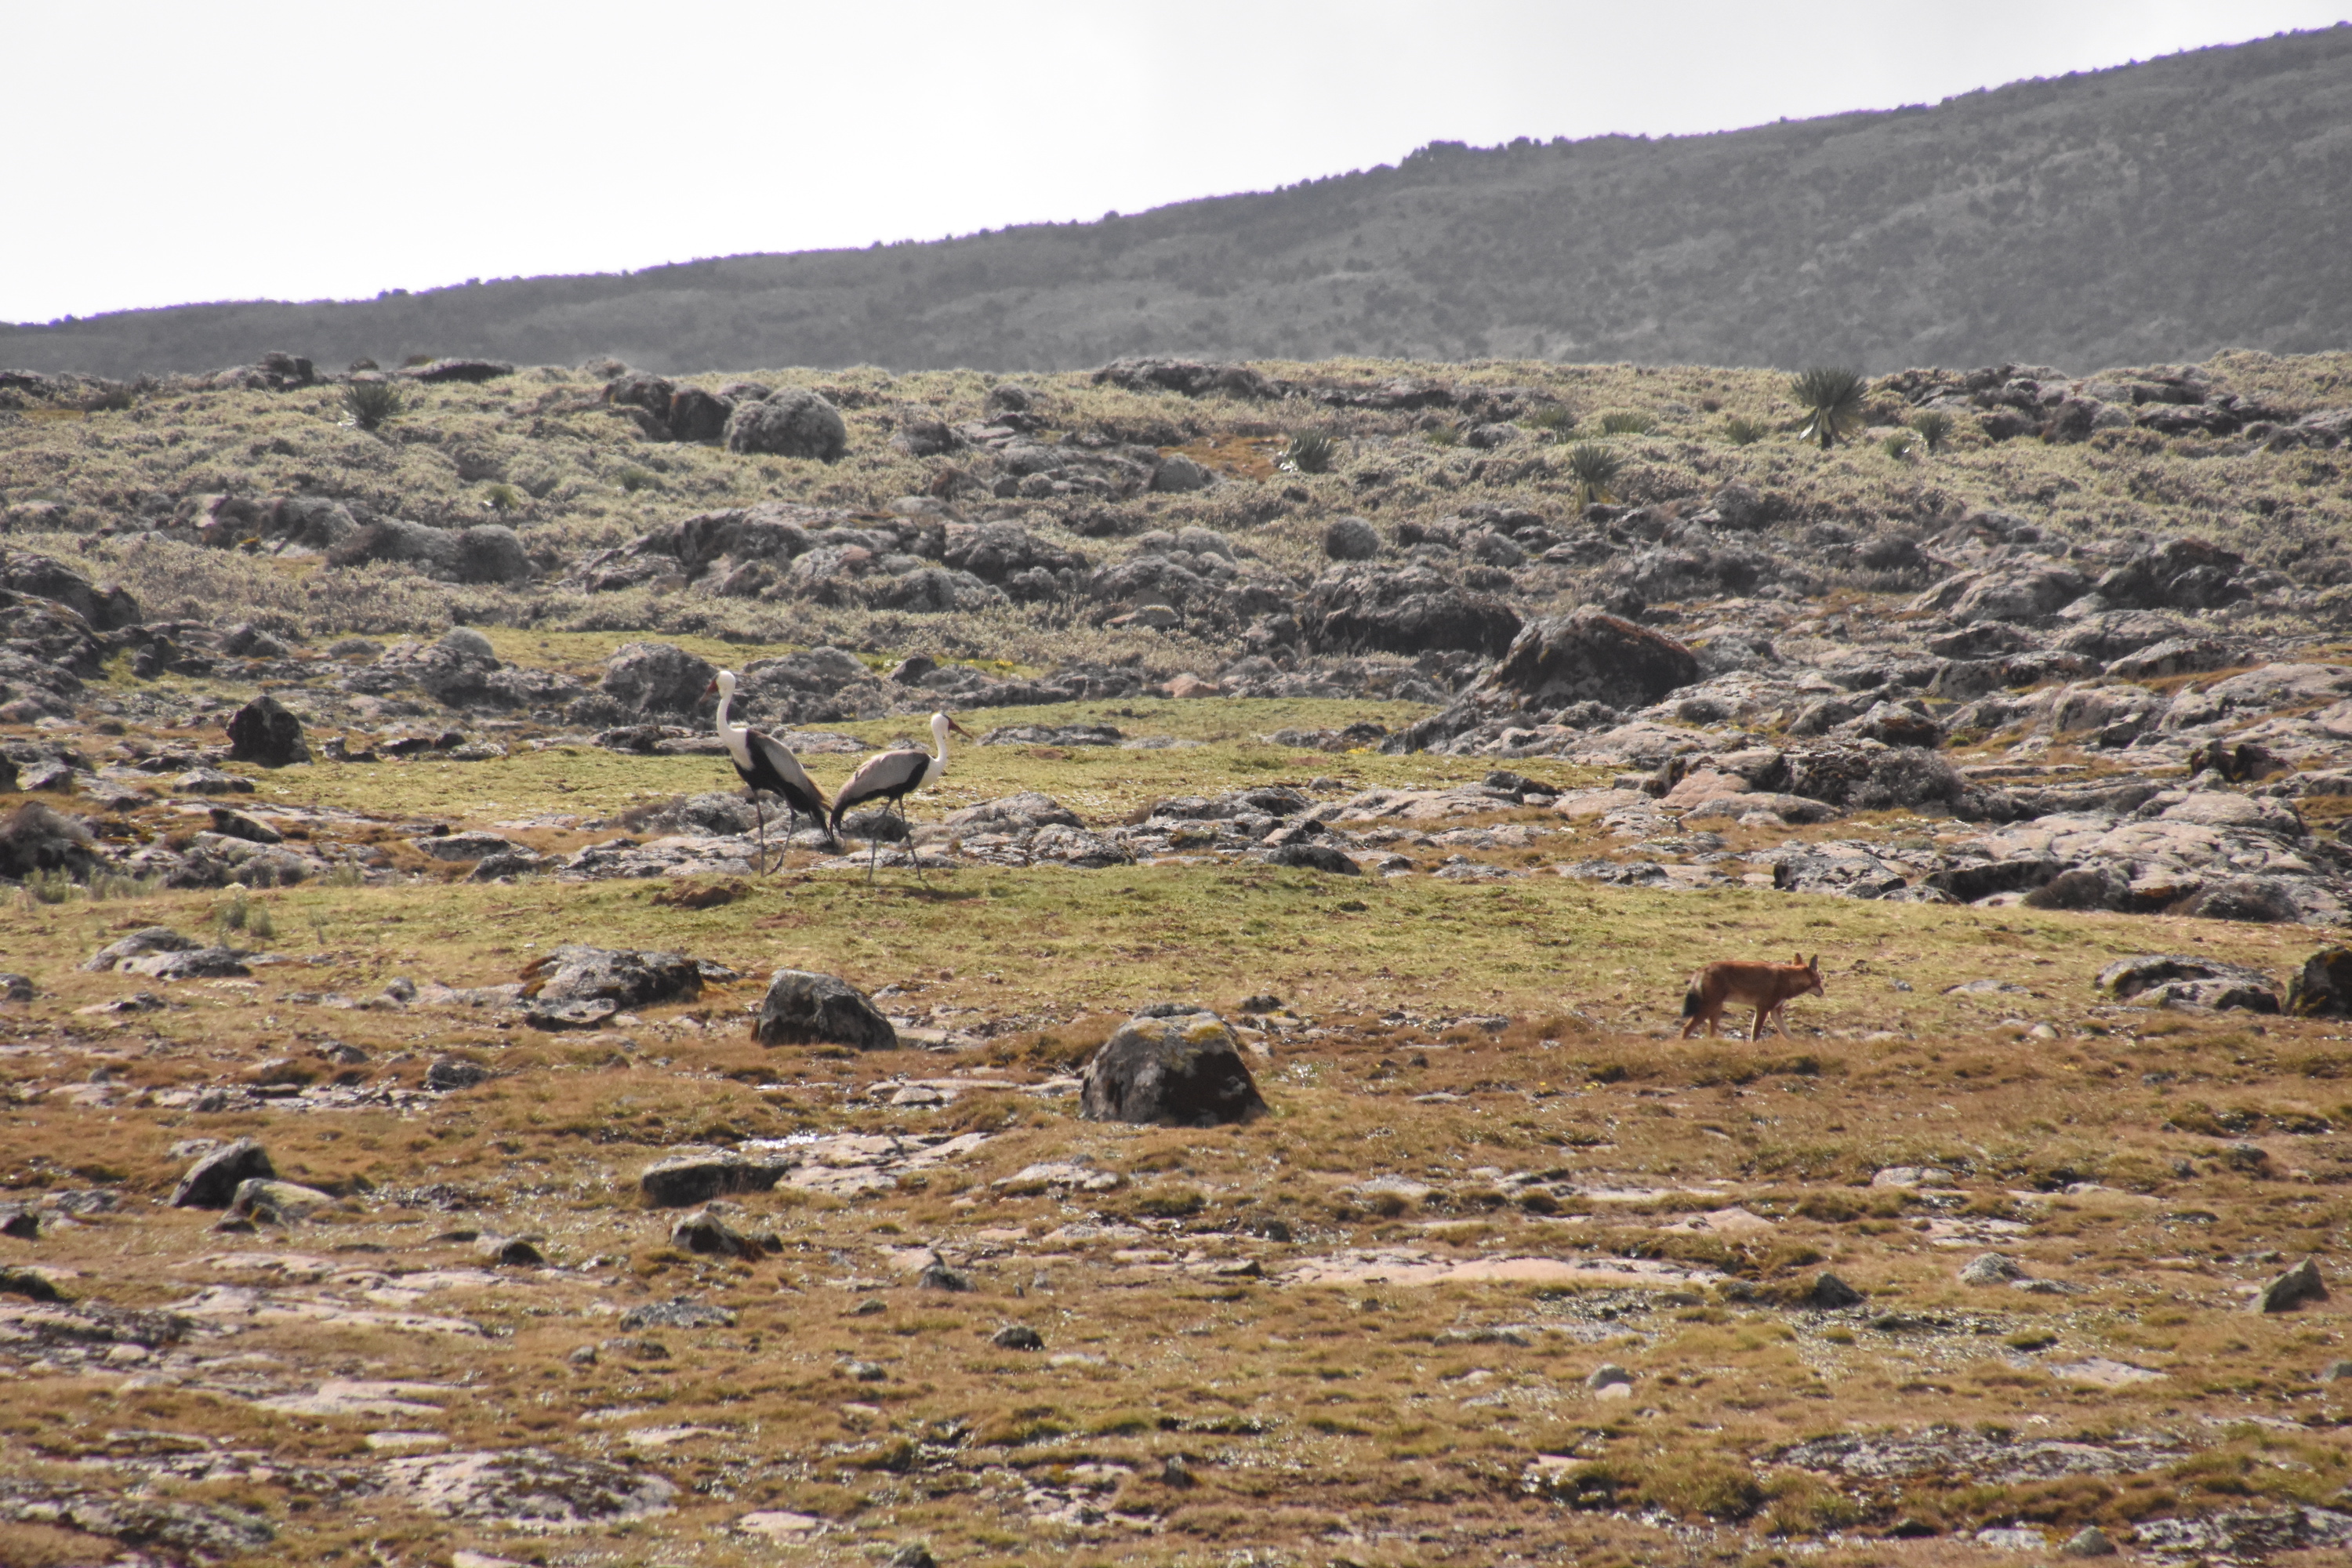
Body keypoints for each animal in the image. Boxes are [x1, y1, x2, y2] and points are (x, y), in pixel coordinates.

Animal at [1680, 954, 1824, 1040]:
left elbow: (1790, 1036)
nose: (1823, 992)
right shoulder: (1762, 1009)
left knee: (1710, 1034)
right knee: (1686, 1029)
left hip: (1716, 1010)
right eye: (1819, 981)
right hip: (1709, 1009)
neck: (1789, 980)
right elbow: (1755, 1036)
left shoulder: (1774, 1013)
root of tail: (1705, 968)